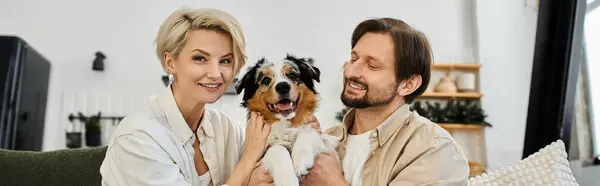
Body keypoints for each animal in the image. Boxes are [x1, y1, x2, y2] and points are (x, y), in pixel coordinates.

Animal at [234, 54, 338, 185]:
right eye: (266, 80)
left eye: (292, 75)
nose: (283, 86)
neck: (283, 123)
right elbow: (277, 148)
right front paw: (287, 179)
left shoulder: (323, 139)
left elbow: (308, 131)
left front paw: (301, 159)